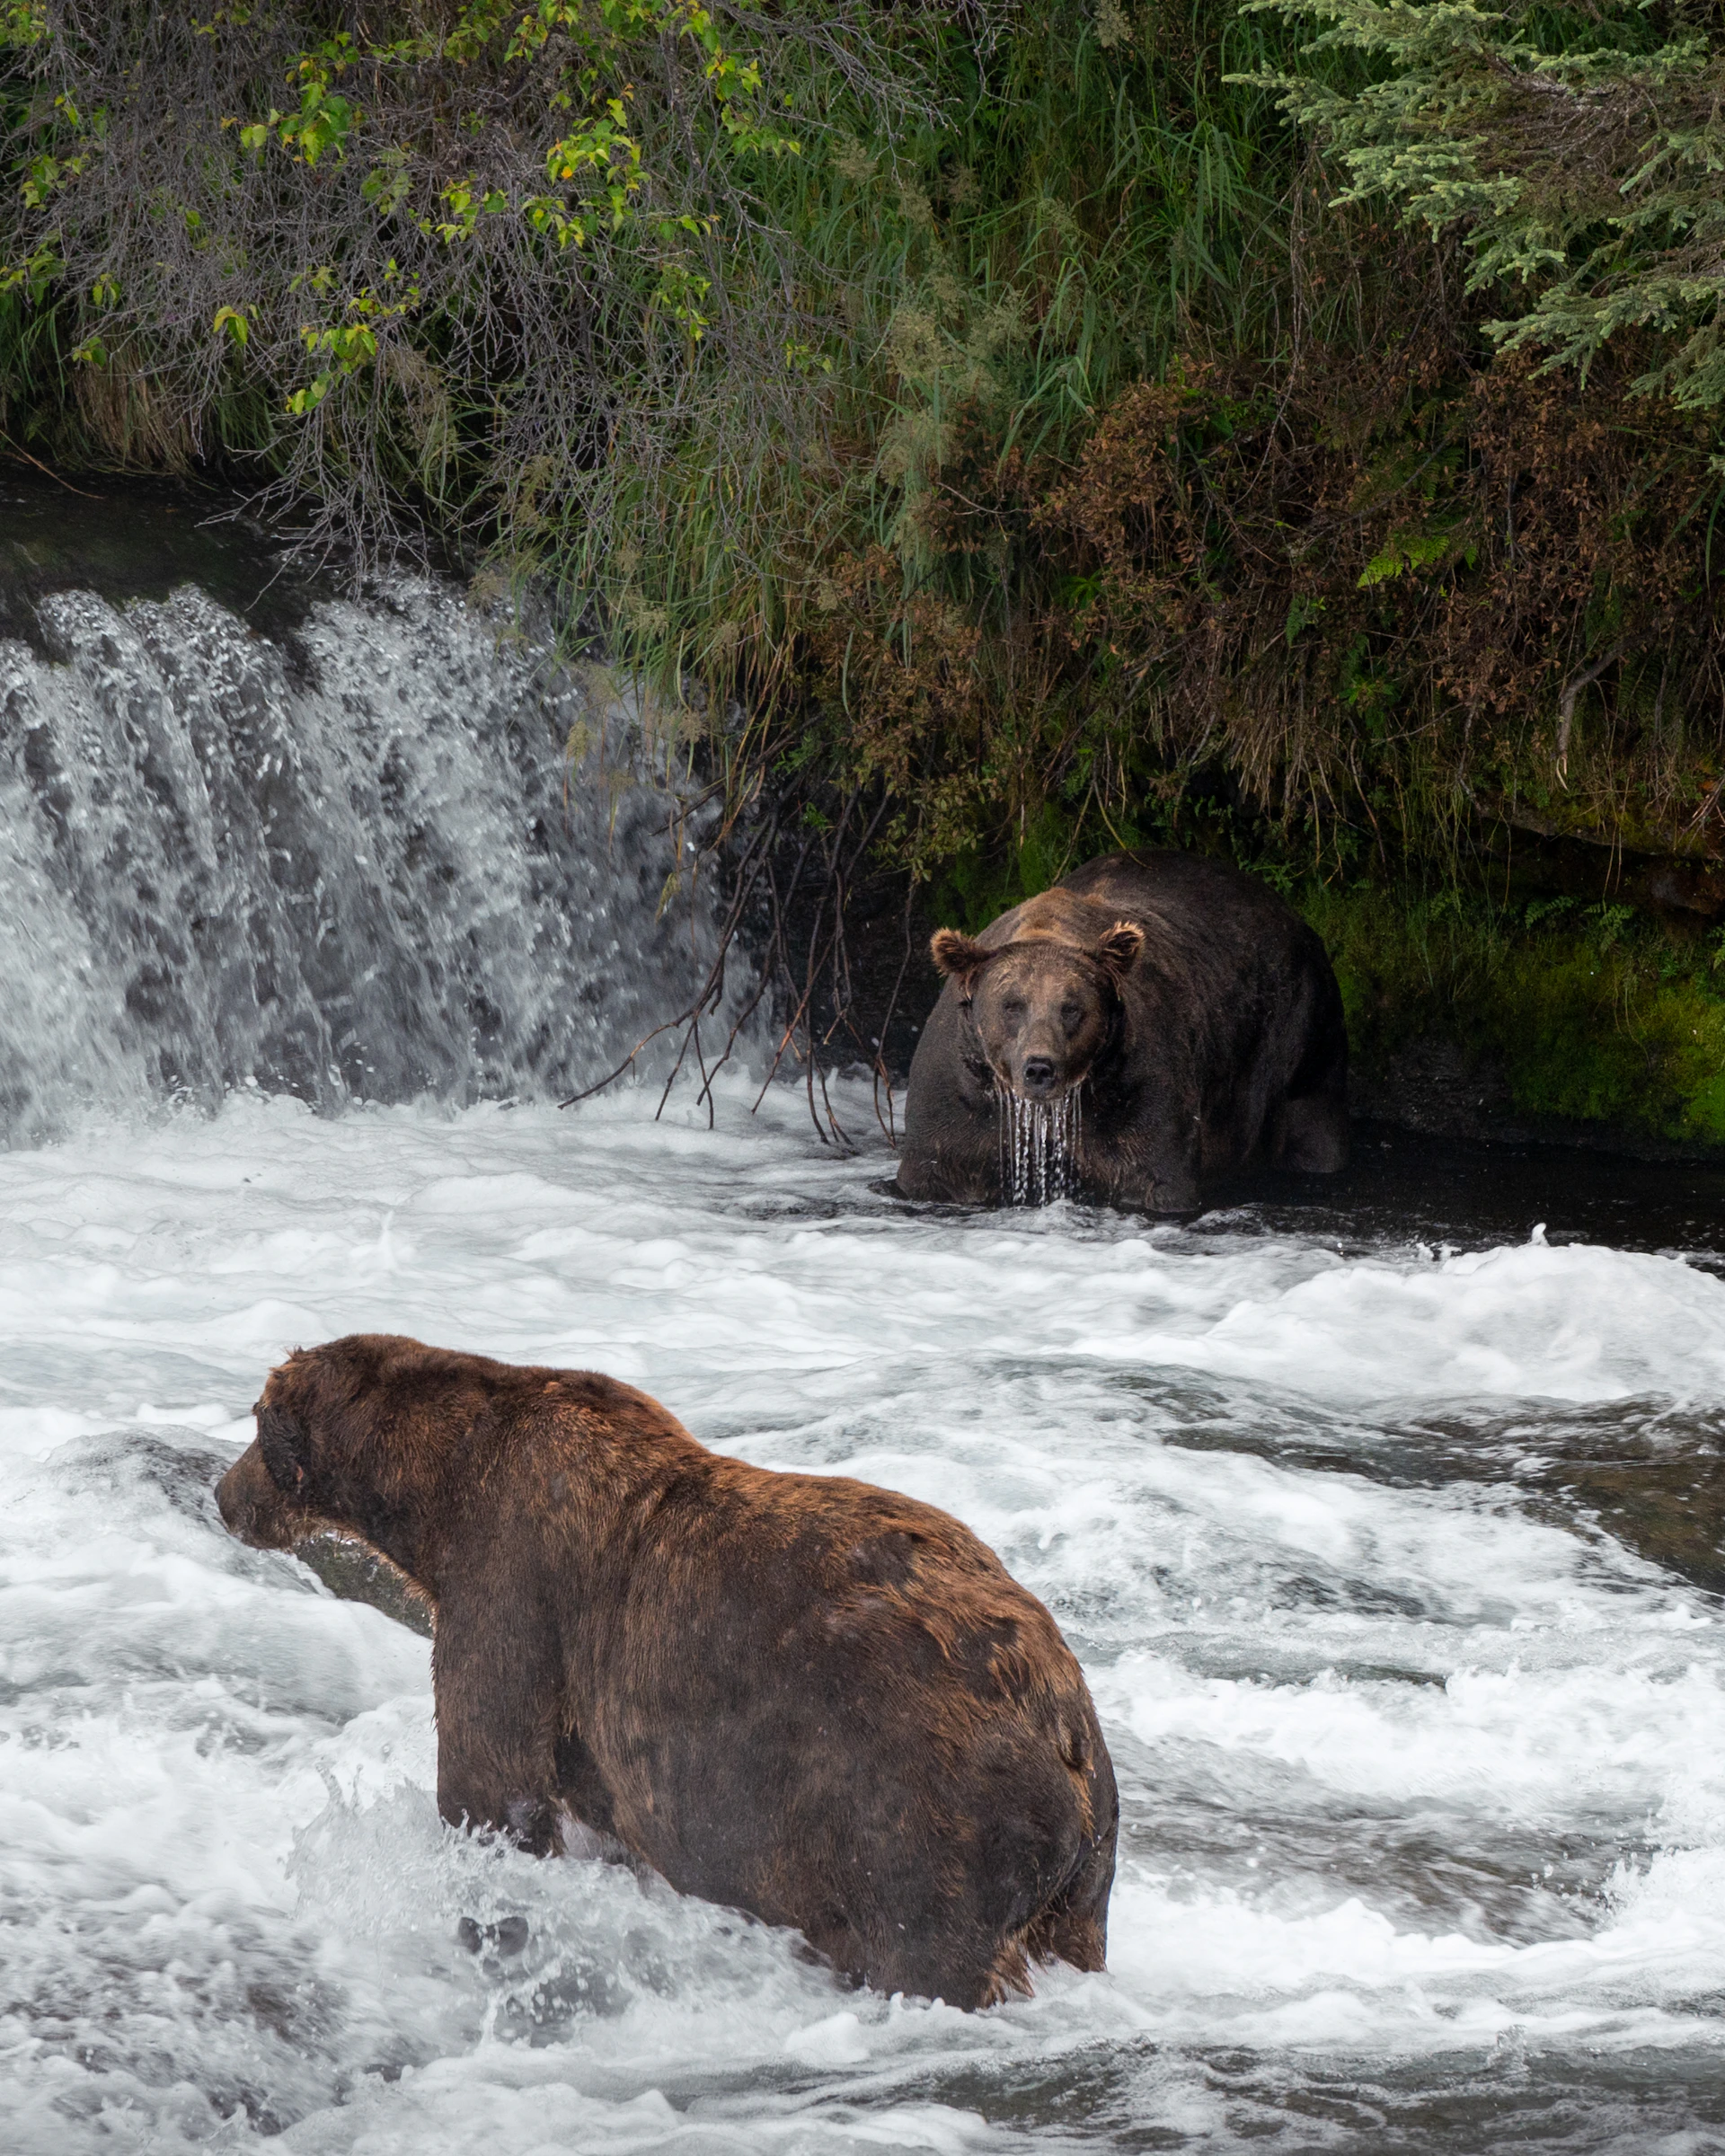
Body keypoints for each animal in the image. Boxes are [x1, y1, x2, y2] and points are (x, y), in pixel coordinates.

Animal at [216, 1333, 1117, 2010]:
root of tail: (1065, 1721)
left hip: (922, 1811)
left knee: (921, 1948)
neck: (439, 1496)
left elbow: (490, 1774)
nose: (224, 1497)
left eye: (256, 1422)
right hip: (1084, 1869)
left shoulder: (516, 1585)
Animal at [895, 849, 1348, 1212]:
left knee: (1313, 1125)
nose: (1040, 1068)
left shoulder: (1139, 1087)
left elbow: (1153, 1173)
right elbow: (939, 1166)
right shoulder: (959, 1095)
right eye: (1012, 1005)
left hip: (1298, 1031)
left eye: (1071, 1008)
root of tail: (1294, 916)